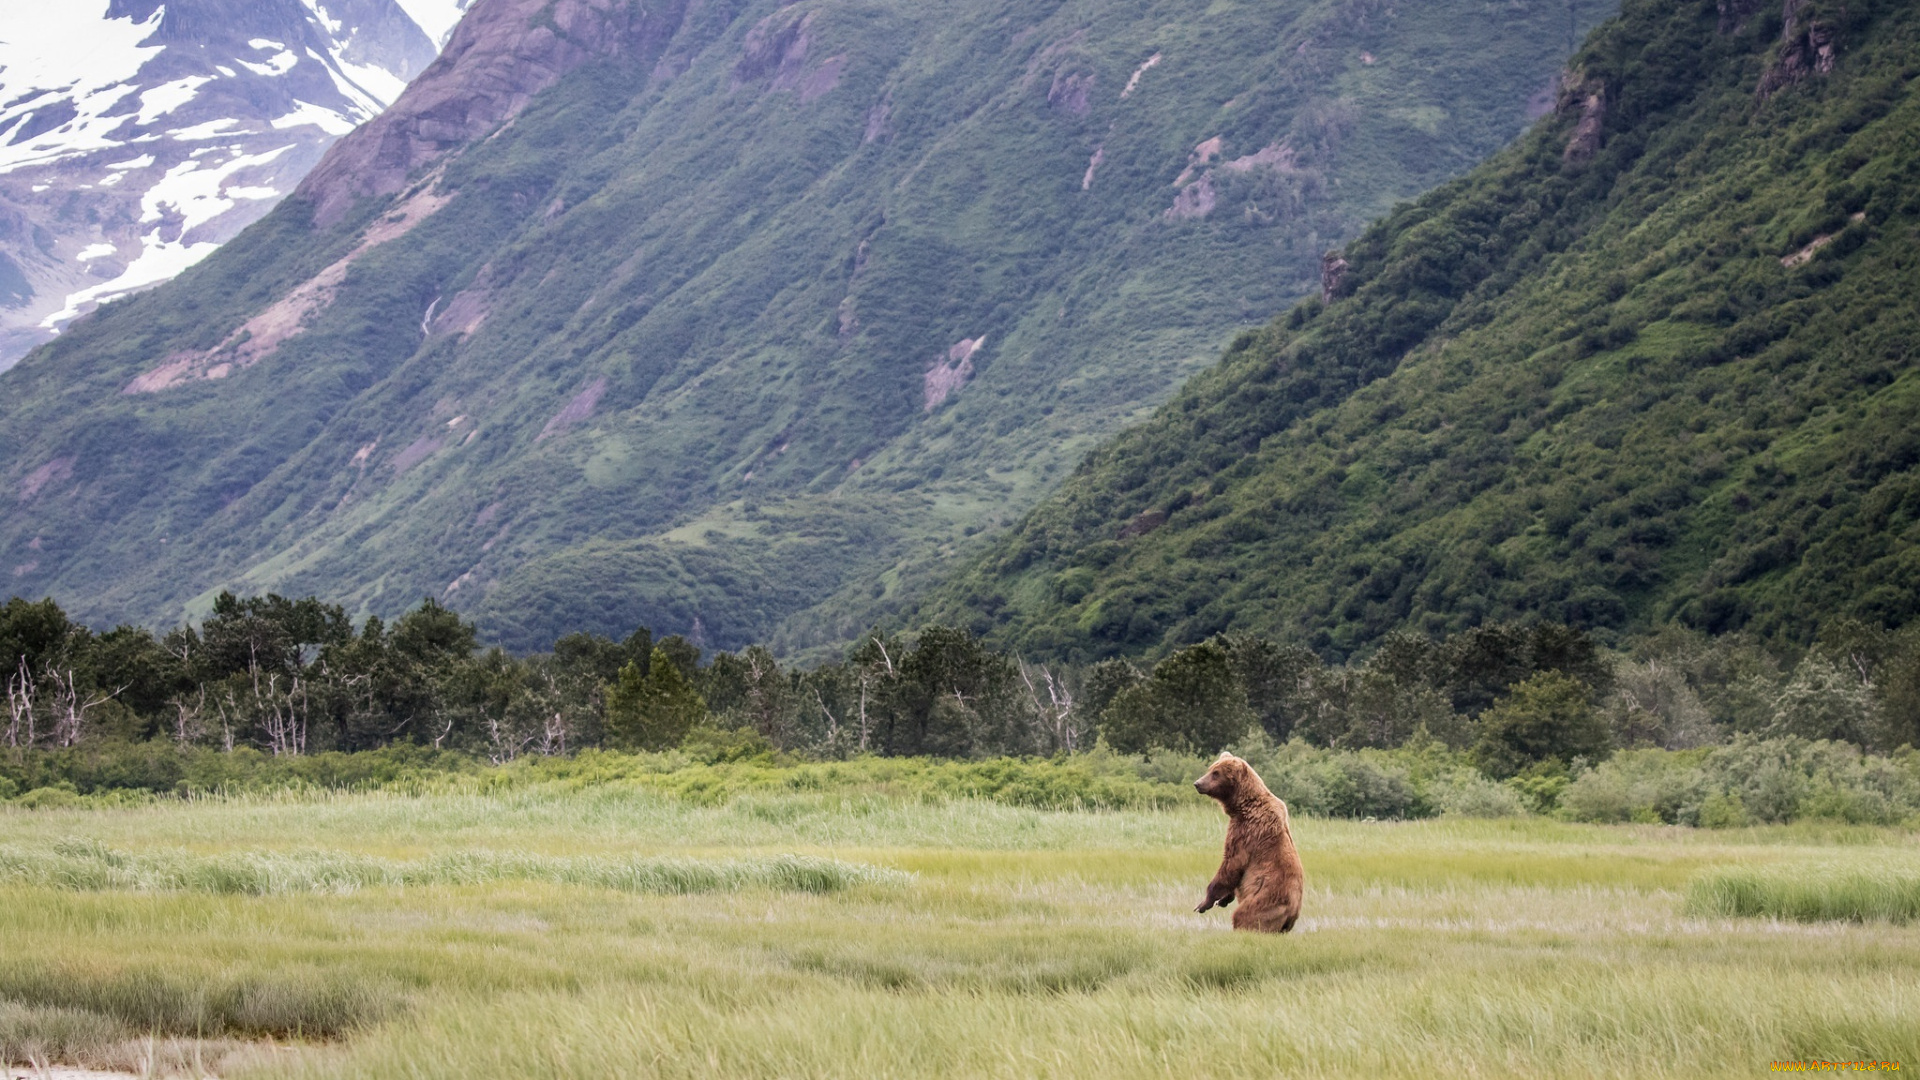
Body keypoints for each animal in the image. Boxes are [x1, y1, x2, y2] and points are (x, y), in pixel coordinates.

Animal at [1198, 749, 1305, 926]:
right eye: (1210, 769)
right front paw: (1224, 899)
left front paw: (1204, 902)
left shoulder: (1246, 830)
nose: (1198, 783)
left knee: (1244, 916)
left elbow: (1232, 863)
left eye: (1216, 773)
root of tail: (1292, 914)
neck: (1241, 805)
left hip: (1266, 902)